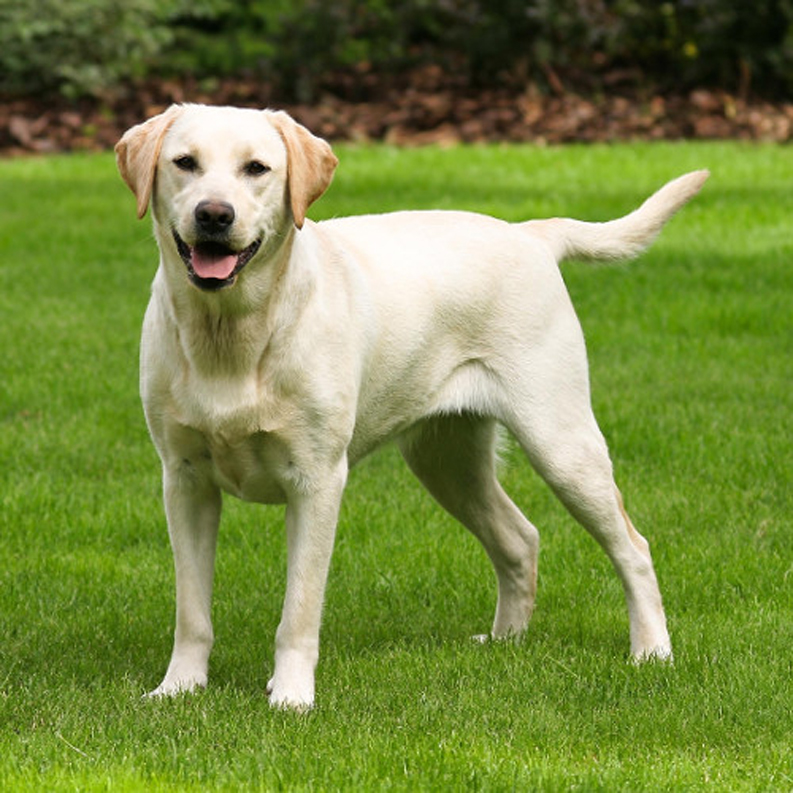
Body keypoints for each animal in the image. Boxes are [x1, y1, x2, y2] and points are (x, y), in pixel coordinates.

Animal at [116, 102, 704, 708]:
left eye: (256, 168)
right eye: (185, 163)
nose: (214, 214)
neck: (232, 334)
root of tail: (530, 234)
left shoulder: (317, 480)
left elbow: (299, 609)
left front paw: (292, 696)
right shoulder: (184, 480)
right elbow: (192, 610)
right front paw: (179, 688)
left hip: (561, 443)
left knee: (633, 546)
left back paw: (652, 651)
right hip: (446, 460)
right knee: (520, 538)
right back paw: (505, 642)